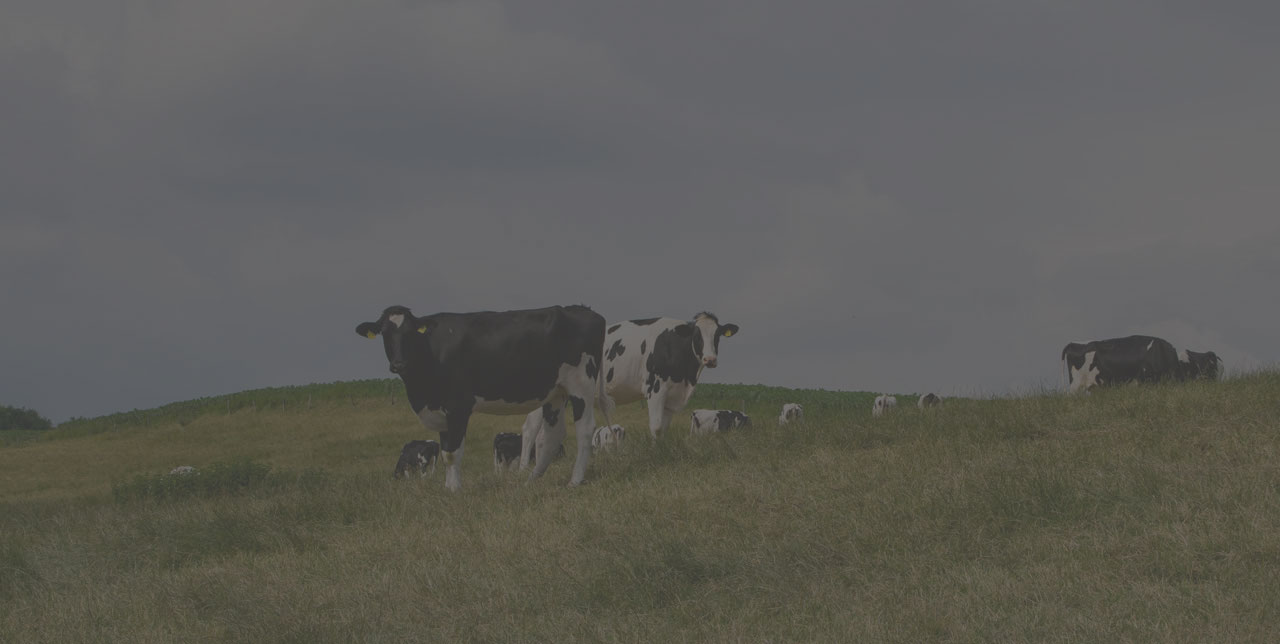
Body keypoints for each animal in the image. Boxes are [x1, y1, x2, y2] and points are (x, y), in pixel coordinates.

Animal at [356, 304, 607, 491]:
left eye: (409, 333)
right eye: (385, 333)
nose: (398, 364)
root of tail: (586, 310)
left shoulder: (457, 407)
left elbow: (452, 453)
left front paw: (454, 489)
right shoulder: (442, 413)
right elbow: (445, 450)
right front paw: (448, 487)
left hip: (581, 384)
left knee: (585, 429)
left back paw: (574, 480)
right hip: (557, 391)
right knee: (552, 435)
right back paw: (530, 481)